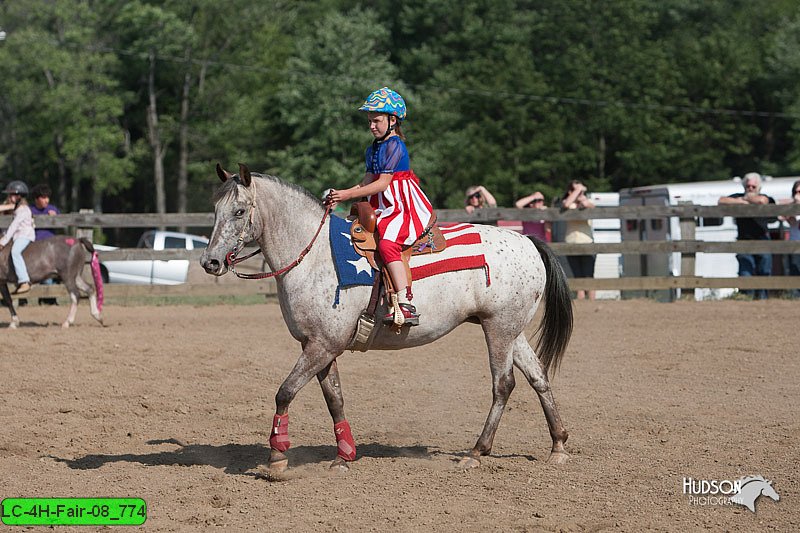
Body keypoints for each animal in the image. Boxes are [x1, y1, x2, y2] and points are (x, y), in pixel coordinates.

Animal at [200, 164, 576, 472]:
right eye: (214, 210)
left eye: (239, 210)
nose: (210, 262)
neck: (315, 255)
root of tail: (526, 241)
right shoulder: (318, 345)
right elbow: (334, 399)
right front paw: (344, 455)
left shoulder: (323, 345)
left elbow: (285, 391)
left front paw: (277, 456)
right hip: (512, 330)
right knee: (538, 376)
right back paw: (558, 445)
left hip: (498, 329)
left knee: (503, 384)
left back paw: (477, 451)